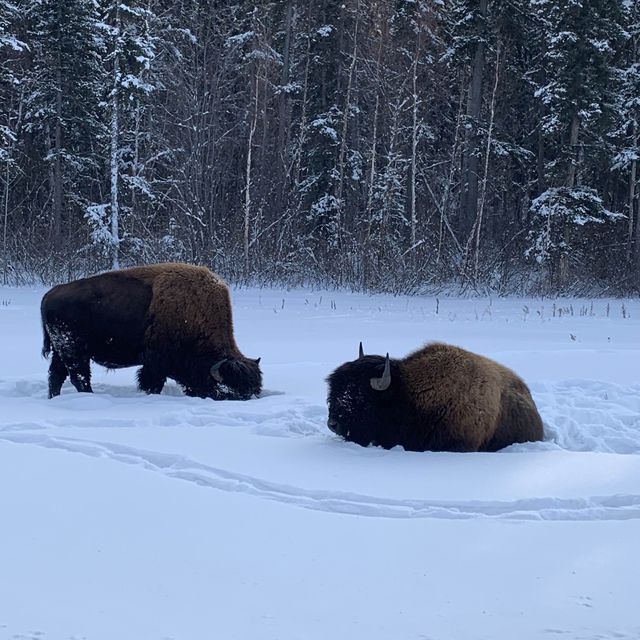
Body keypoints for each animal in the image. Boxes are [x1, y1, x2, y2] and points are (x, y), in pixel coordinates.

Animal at [41, 262, 262, 398]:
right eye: (228, 392)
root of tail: (50, 294)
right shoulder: (155, 363)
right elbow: (153, 382)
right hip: (74, 351)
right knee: (79, 377)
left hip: (62, 351)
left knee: (56, 376)